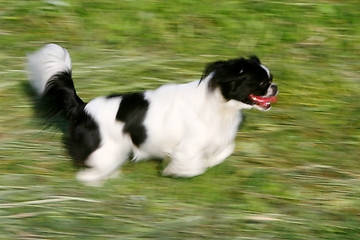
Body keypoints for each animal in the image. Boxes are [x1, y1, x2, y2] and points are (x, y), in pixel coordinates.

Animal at [27, 44, 278, 185]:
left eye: (271, 79)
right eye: (262, 83)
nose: (275, 87)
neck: (220, 105)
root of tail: (83, 108)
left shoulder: (218, 138)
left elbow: (225, 150)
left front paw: (208, 162)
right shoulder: (189, 145)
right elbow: (192, 165)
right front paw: (174, 170)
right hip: (106, 150)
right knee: (89, 173)